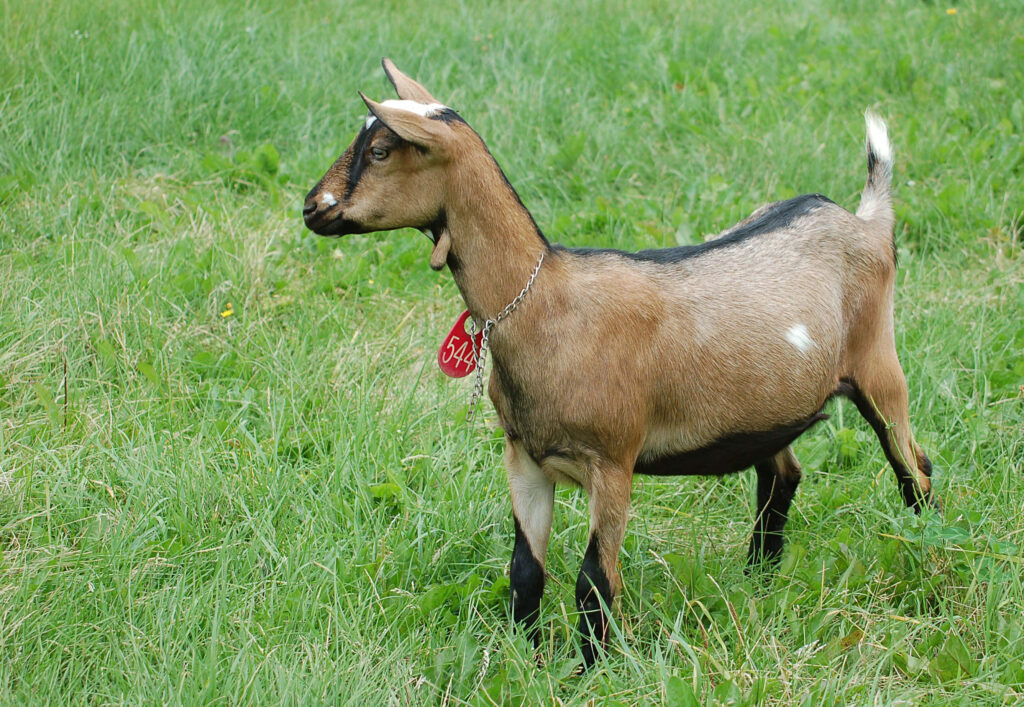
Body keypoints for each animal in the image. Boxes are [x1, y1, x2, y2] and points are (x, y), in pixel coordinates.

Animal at [302, 58, 936, 668]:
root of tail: (865, 220)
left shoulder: (612, 460)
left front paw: (593, 669)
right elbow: (525, 571)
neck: (547, 301)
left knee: (915, 468)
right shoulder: (524, 456)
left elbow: (594, 580)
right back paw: (757, 580)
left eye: (380, 150)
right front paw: (528, 658)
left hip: (880, 366)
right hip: (768, 407)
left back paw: (931, 559)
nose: (311, 208)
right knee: (783, 475)